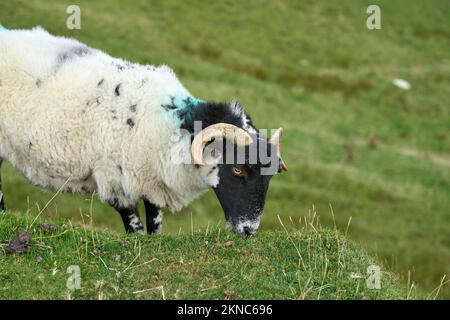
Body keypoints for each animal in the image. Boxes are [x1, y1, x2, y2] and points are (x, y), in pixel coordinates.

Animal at [0, 26, 286, 238]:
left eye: (270, 176)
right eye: (237, 169)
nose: (249, 230)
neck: (170, 127)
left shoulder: (153, 182)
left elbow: (155, 222)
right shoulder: (114, 180)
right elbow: (133, 224)